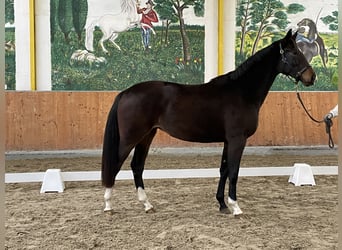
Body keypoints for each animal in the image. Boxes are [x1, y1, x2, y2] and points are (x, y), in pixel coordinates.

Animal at [101, 30, 316, 215]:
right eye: (294, 52)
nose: (311, 76)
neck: (241, 91)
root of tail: (126, 92)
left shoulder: (228, 140)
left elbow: (224, 170)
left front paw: (222, 204)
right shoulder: (237, 139)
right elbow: (234, 172)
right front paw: (235, 206)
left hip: (146, 136)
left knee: (137, 166)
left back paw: (147, 204)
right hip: (131, 138)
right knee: (115, 165)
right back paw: (108, 205)